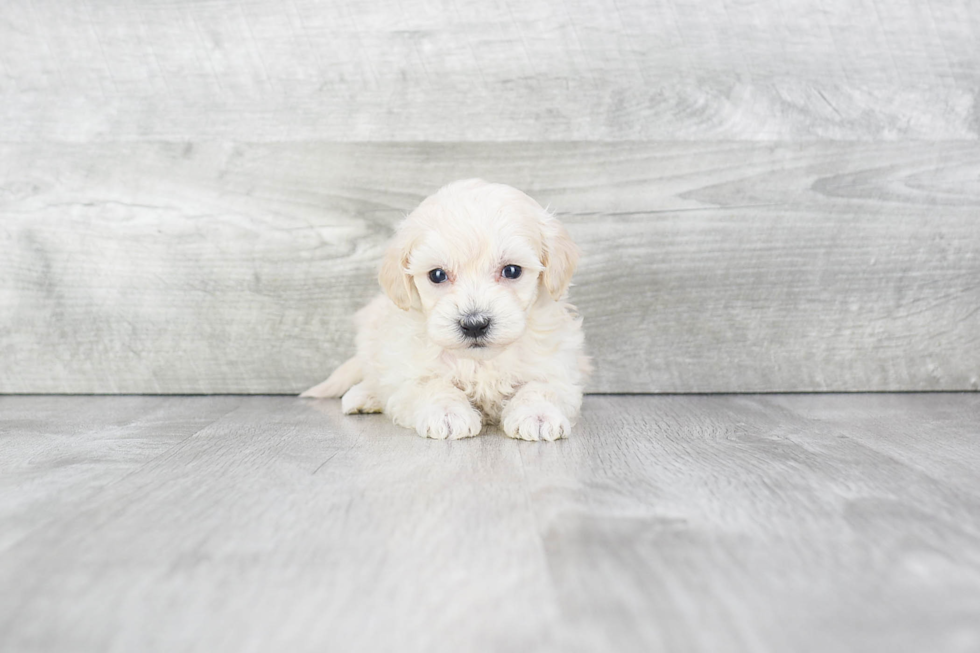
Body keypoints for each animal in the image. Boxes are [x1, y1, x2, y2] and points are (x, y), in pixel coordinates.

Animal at [298, 178, 588, 440]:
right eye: (437, 275)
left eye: (512, 271)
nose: (474, 324)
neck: (479, 362)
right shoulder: (408, 369)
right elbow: (432, 385)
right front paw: (448, 414)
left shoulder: (556, 365)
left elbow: (542, 386)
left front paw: (538, 414)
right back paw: (363, 396)